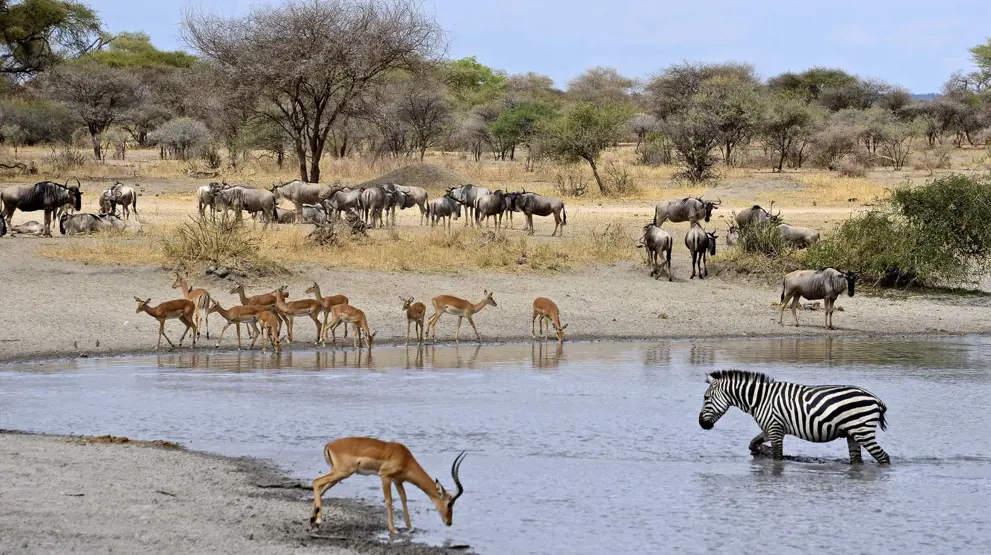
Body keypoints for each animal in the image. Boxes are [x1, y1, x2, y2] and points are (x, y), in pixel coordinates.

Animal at [696, 372, 892, 466]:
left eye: (706, 398)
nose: (701, 424)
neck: (760, 399)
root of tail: (876, 399)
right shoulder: (770, 427)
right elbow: (753, 443)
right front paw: (760, 451)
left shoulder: (775, 429)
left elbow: (778, 457)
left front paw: (768, 454)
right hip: (853, 434)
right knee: (857, 461)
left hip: (863, 432)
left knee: (884, 457)